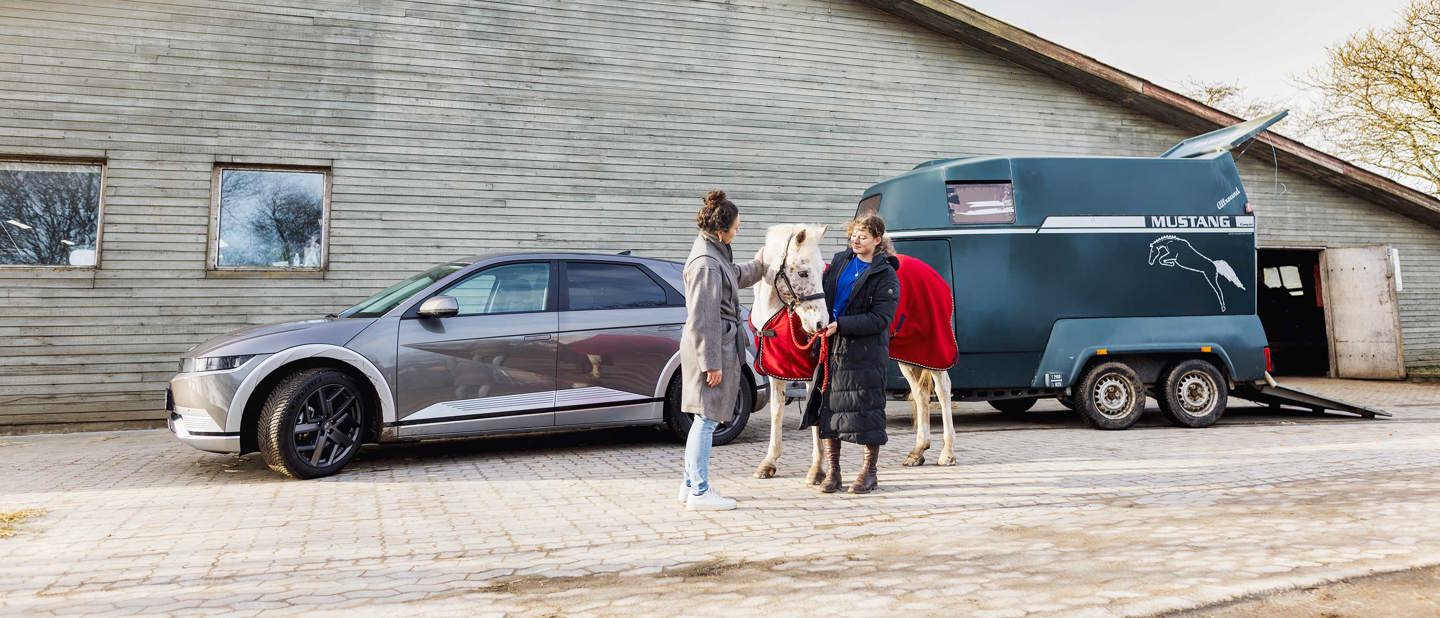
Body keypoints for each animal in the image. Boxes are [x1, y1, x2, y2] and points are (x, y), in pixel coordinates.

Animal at [748, 223, 961, 484]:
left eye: (819, 273)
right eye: (804, 273)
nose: (820, 324)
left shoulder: (813, 372)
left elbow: (814, 419)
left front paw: (817, 470)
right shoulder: (777, 371)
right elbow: (776, 413)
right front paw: (769, 463)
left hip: (934, 350)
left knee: (943, 390)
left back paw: (947, 452)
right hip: (910, 355)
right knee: (921, 394)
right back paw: (918, 451)